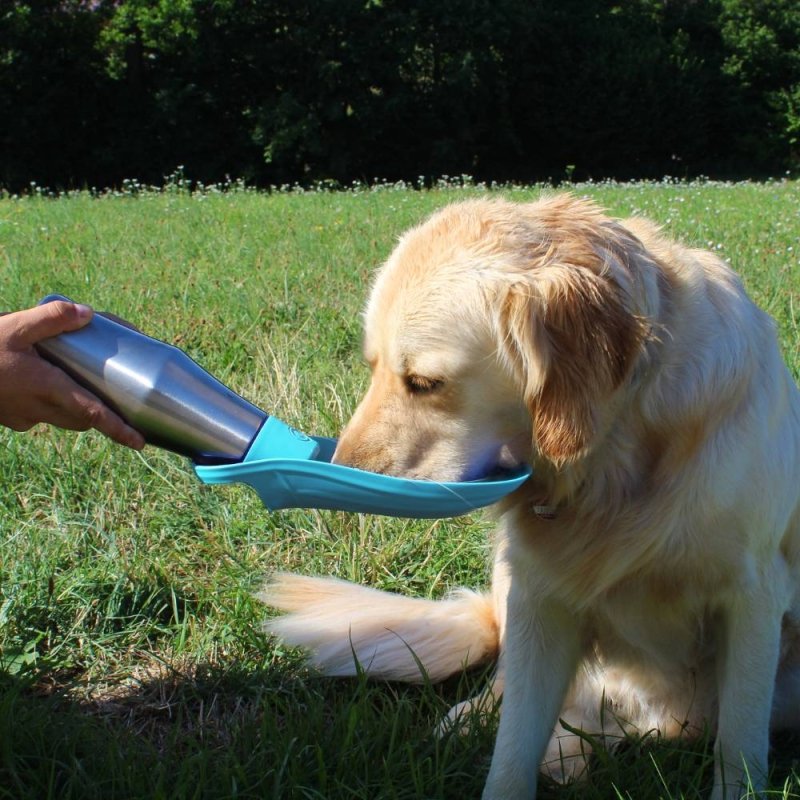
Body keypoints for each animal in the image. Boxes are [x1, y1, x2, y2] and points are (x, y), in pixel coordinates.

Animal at [266, 195, 800, 800]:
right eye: (372, 366)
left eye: (424, 383)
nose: (335, 476)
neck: (613, 464)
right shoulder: (540, 597)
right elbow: (513, 746)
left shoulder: (754, 598)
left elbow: (739, 740)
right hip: (511, 585)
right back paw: (481, 722)